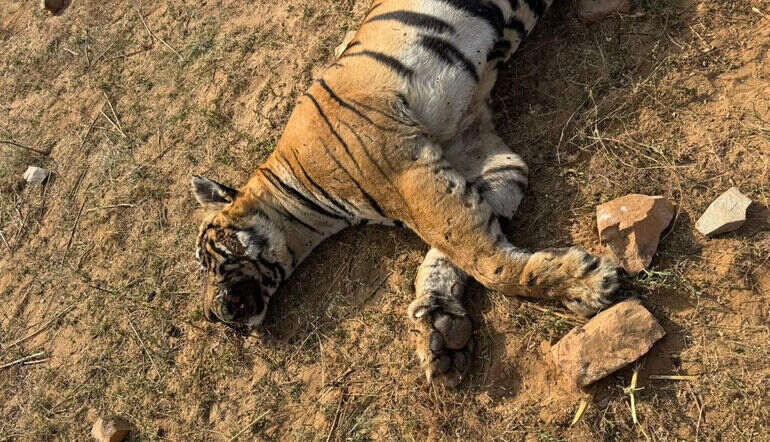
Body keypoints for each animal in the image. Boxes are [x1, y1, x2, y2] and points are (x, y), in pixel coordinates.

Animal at [192, 0, 620, 387]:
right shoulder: (485, 157)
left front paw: (585, 282)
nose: (211, 317)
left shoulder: (402, 170)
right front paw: (440, 329)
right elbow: (454, 251)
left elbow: (480, 258)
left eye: (206, 259)